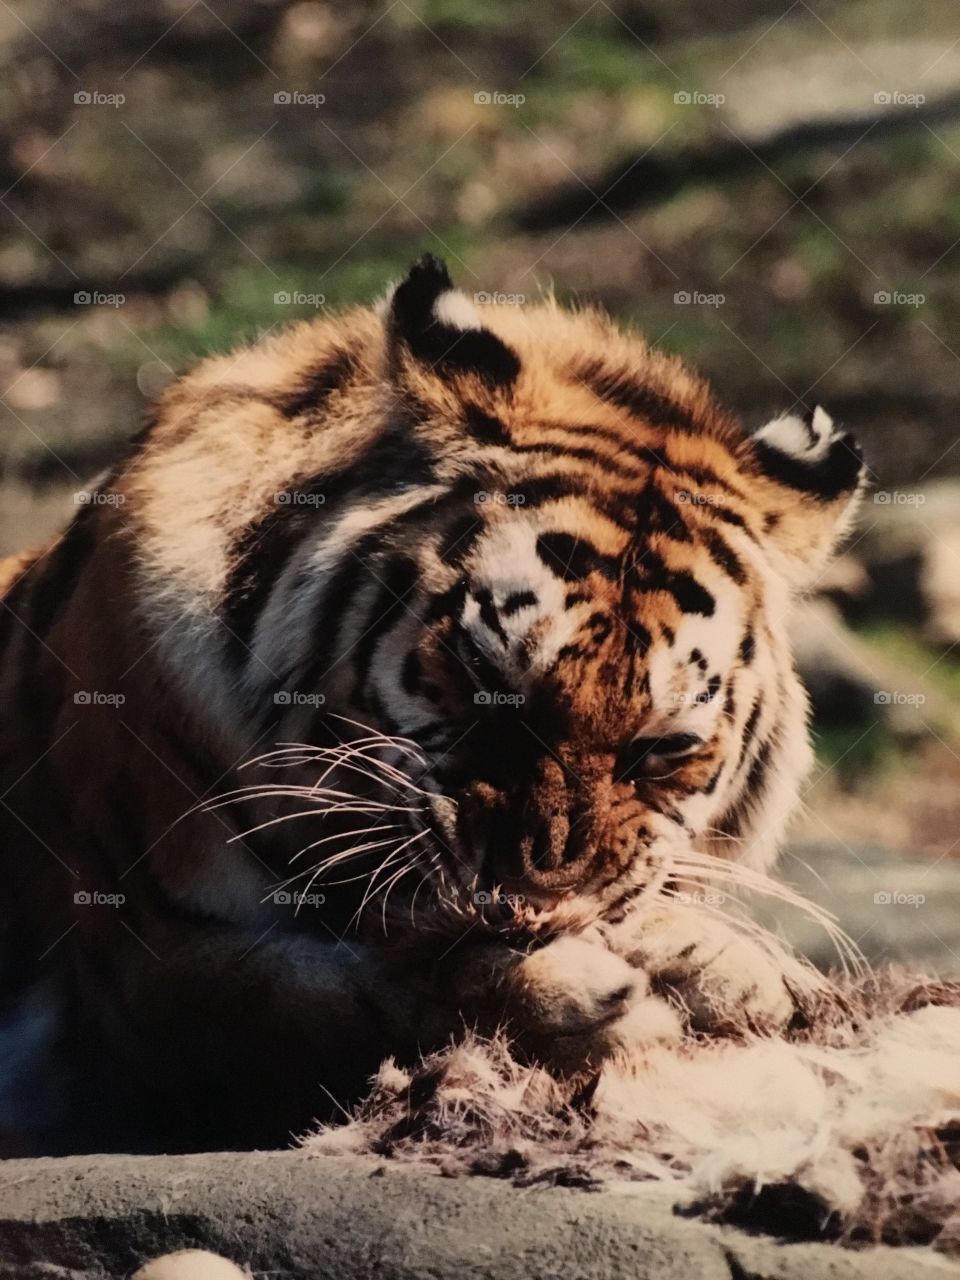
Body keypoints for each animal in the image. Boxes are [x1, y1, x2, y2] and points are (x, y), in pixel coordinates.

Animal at [0, 254, 870, 1157]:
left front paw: (747, 973)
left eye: (663, 747)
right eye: (481, 668)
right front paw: (575, 1002)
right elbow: (345, 998)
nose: (532, 903)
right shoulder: (142, 961)